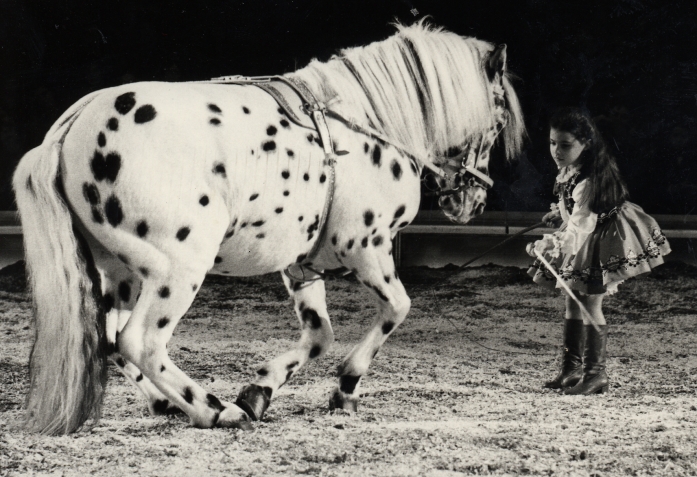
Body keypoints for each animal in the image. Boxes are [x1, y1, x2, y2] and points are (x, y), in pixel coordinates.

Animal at [12, 20, 520, 434]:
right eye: (498, 118)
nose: (471, 202)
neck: (365, 124)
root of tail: (71, 127)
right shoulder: (366, 246)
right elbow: (397, 308)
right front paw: (345, 386)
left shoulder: (302, 266)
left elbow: (319, 336)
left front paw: (260, 390)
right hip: (177, 268)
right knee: (142, 342)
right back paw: (214, 411)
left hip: (118, 271)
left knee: (112, 341)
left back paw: (170, 404)